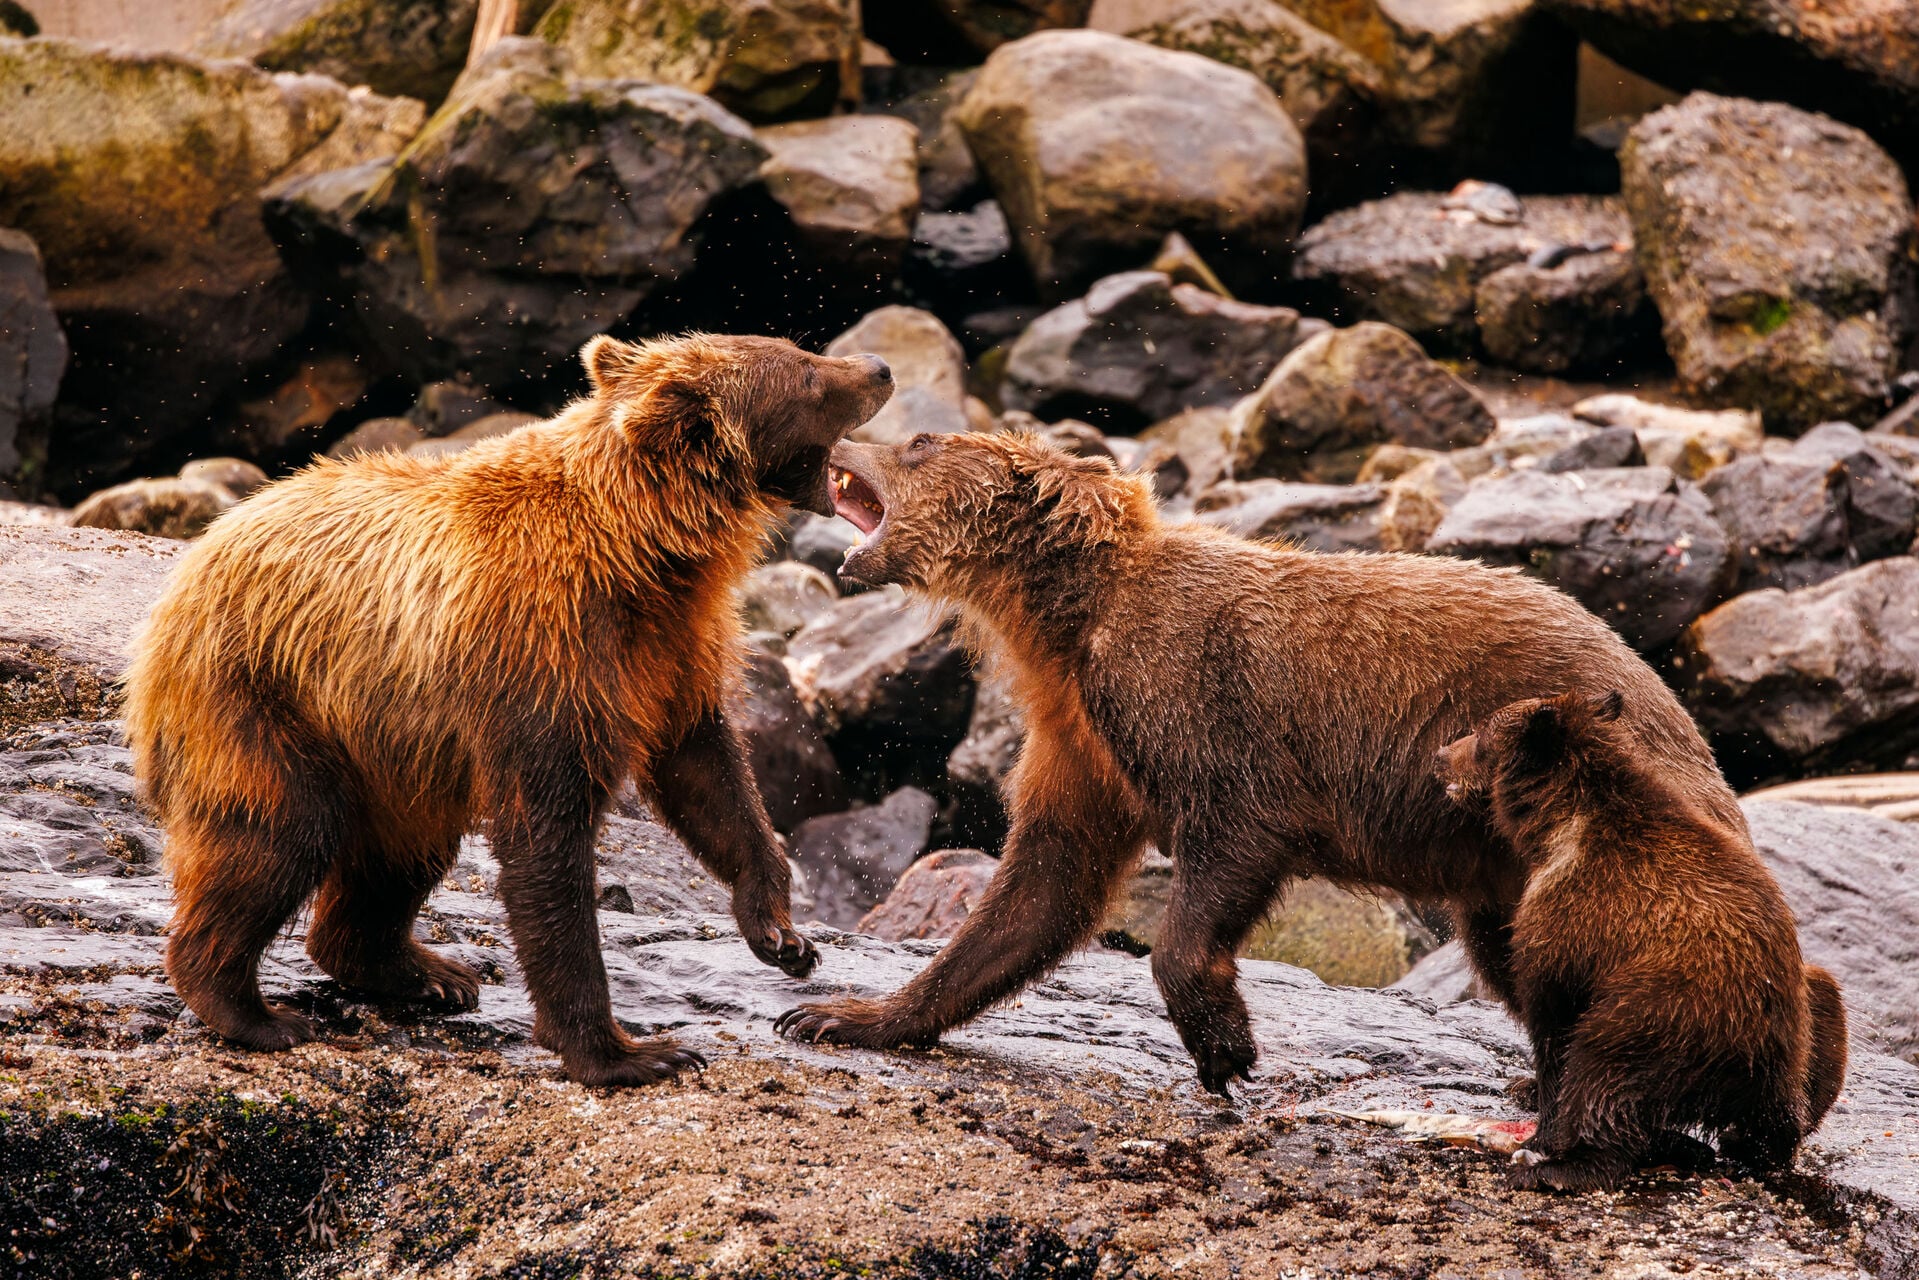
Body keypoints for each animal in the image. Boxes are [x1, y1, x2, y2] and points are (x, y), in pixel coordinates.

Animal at [124, 333, 893, 1087]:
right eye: (807, 375)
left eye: (799, 351)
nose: (878, 366)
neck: (638, 552)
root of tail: (192, 563)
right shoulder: (539, 650)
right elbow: (546, 838)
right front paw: (628, 1052)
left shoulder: (670, 651)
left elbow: (709, 776)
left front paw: (780, 934)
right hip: (263, 696)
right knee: (280, 832)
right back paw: (252, 1010)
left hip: (393, 747)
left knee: (400, 852)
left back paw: (426, 973)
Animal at [776, 431, 1744, 1102]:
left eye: (919, 442)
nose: (844, 439)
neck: (1063, 626)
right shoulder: (1081, 739)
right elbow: (1040, 887)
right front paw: (841, 1014)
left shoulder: (1187, 690)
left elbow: (1234, 833)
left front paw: (1224, 1047)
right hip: (1501, 861)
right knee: (1507, 955)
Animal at [1434, 689, 1847, 1191]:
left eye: (1480, 733)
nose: (1440, 756)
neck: (1558, 827)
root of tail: (1755, 1045)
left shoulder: (1567, 920)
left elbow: (1551, 1020)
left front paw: (1540, 1134)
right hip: (1785, 1040)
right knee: (1783, 1107)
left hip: (1664, 1016)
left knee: (1604, 1072)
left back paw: (1562, 1166)